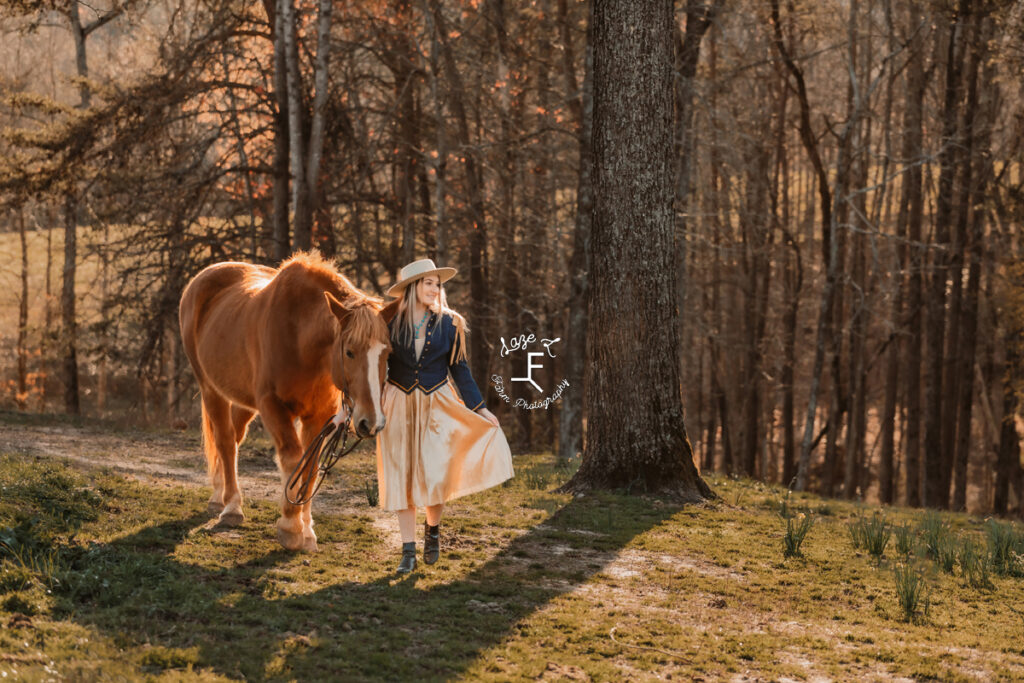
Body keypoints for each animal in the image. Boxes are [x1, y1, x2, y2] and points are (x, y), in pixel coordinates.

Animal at [180, 250, 395, 548]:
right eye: (349, 352)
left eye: (387, 353)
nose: (370, 422)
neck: (301, 339)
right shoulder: (273, 407)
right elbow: (293, 459)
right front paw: (291, 528)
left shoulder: (319, 416)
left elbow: (311, 466)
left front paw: (307, 529)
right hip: (212, 389)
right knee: (224, 441)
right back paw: (231, 506)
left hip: (245, 401)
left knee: (233, 438)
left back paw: (218, 495)